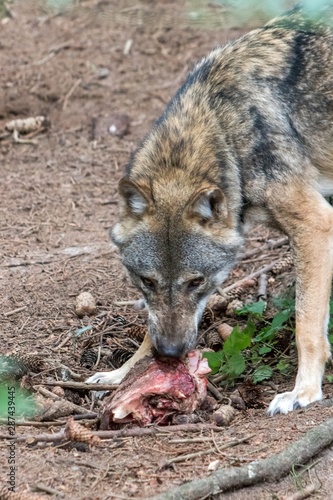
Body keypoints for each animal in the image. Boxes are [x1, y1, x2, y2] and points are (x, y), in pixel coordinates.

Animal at [86, 7, 332, 414]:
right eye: (147, 281)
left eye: (196, 281)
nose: (170, 354)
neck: (224, 129)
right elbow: (147, 330)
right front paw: (122, 374)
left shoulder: (315, 223)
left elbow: (306, 322)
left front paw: (304, 390)